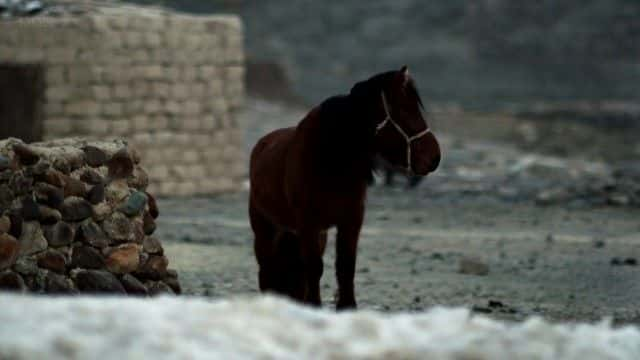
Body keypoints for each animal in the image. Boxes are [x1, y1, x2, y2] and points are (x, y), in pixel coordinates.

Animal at [249, 66, 440, 308]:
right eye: (404, 110)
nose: (434, 157)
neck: (331, 162)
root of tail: (261, 144)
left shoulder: (350, 221)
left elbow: (345, 266)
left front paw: (347, 306)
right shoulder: (308, 224)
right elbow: (315, 268)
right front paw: (315, 306)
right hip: (265, 229)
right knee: (266, 267)